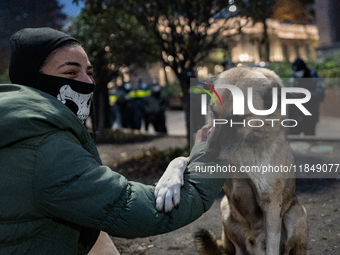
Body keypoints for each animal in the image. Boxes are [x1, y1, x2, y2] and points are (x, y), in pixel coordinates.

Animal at [156, 66, 308, 254]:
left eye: (238, 118)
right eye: (213, 112)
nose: (208, 154)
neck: (242, 149)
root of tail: (253, 244)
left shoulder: (271, 204)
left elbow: (273, 246)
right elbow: (179, 159)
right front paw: (167, 187)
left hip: (297, 214)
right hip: (225, 208)